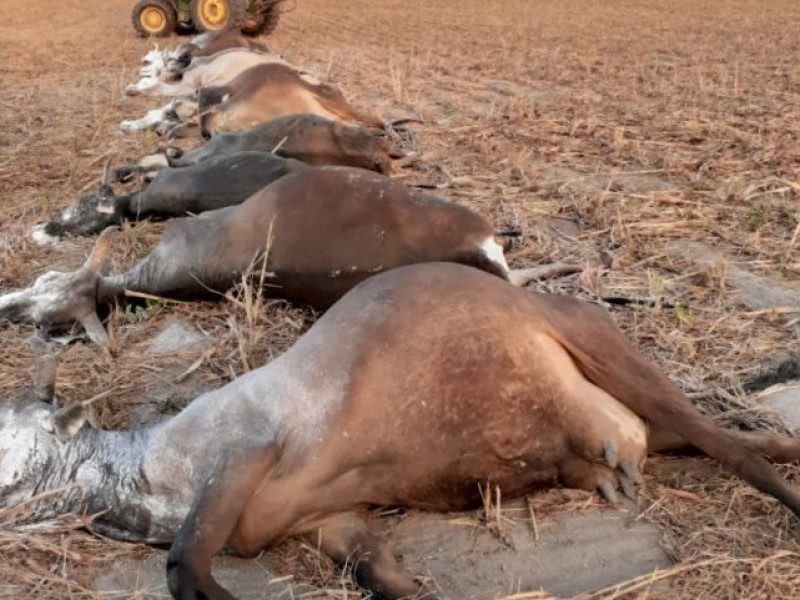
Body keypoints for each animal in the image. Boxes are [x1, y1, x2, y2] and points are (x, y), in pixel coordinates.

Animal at [4, 264, 800, 600]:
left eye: (9, 430)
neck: (143, 469)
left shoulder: (241, 448)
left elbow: (182, 564)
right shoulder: (330, 522)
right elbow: (378, 574)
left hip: (600, 342)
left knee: (733, 449)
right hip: (637, 421)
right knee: (717, 439)